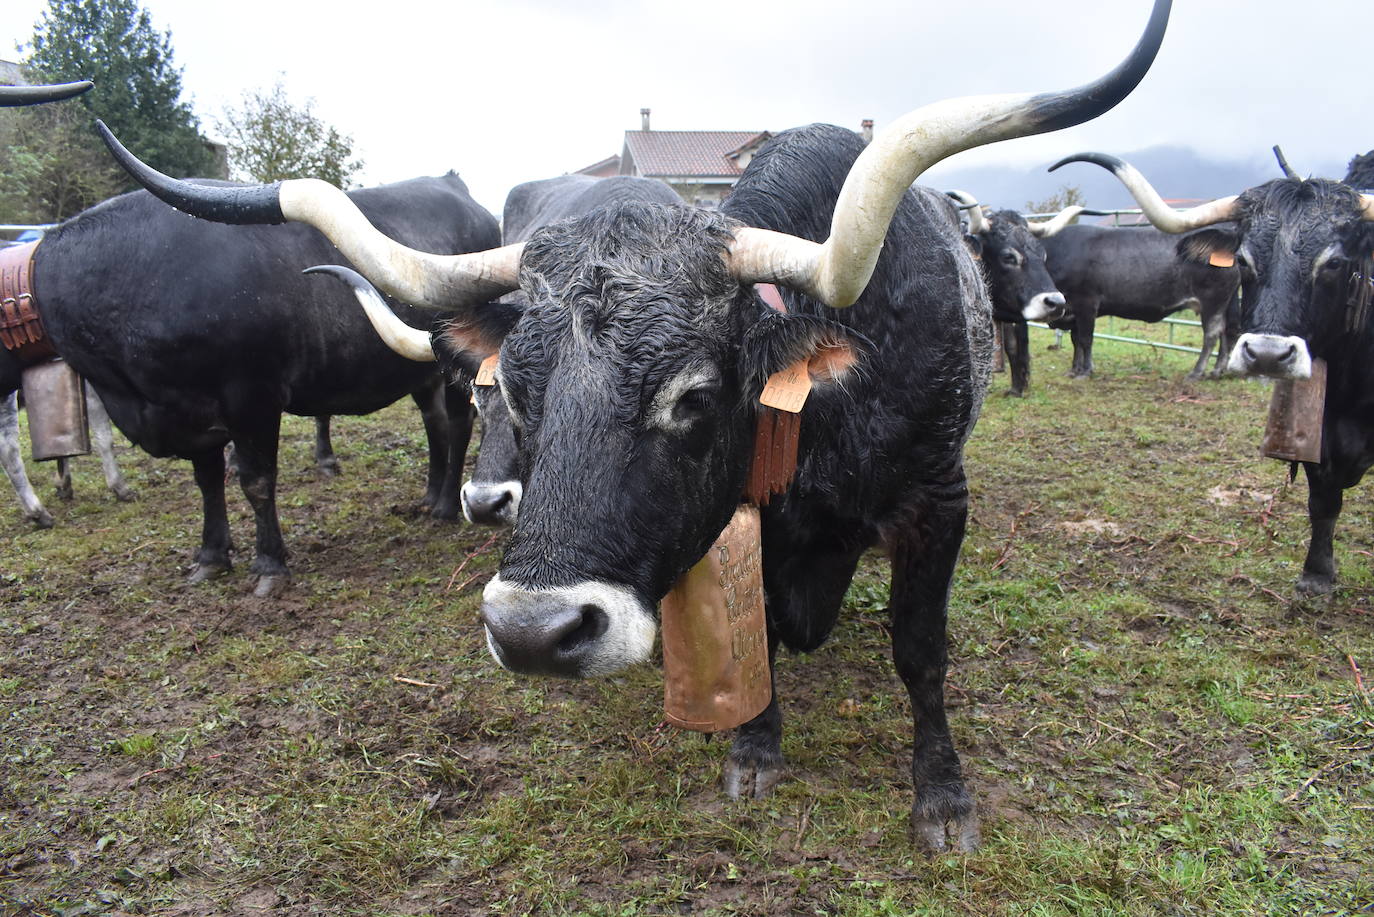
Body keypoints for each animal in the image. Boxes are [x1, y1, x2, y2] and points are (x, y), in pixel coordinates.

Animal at [4, 173, 500, 596]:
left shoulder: (252, 397)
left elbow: (256, 481)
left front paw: (269, 565)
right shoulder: (190, 412)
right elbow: (207, 482)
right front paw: (210, 556)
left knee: (458, 424)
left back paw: (445, 507)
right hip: (418, 371)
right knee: (434, 423)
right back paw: (430, 498)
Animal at [1033, 219, 1242, 379]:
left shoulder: (1086, 303)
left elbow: (1085, 339)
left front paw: (1085, 371)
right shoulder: (1074, 310)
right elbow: (1076, 340)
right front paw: (1074, 369)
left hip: (1213, 303)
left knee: (1212, 335)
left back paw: (1197, 372)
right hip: (1226, 303)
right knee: (1226, 332)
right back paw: (1217, 370)